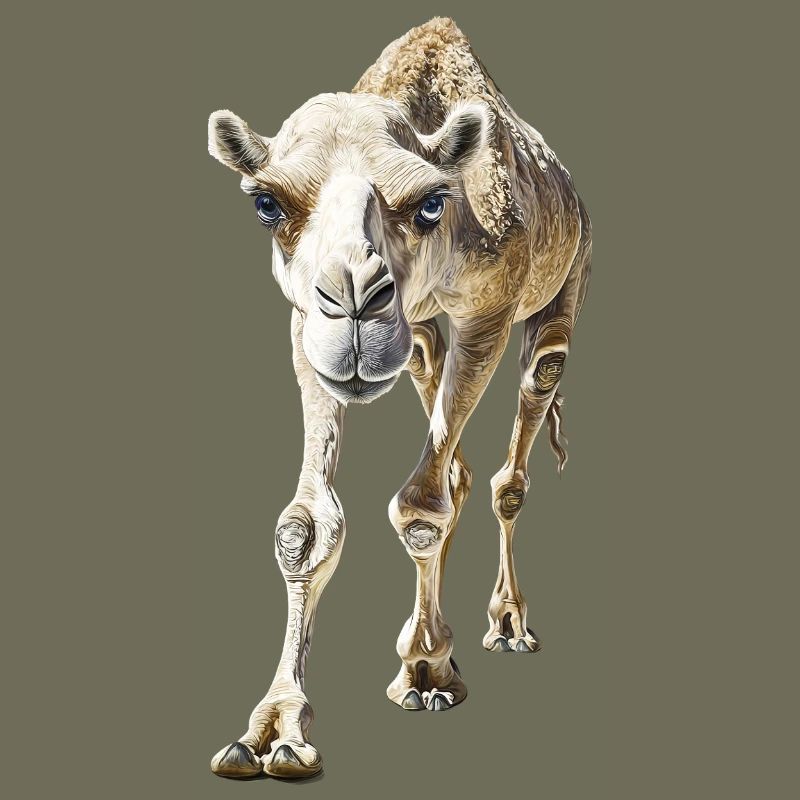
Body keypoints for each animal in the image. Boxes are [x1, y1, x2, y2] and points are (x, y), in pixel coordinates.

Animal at [207, 17, 591, 779]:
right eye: (267, 204)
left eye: (431, 202)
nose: (355, 299)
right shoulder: (304, 325)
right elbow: (305, 526)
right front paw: (272, 730)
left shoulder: (488, 314)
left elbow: (420, 506)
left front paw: (426, 672)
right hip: (416, 337)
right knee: (455, 457)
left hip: (568, 280)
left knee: (525, 420)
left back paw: (506, 625)